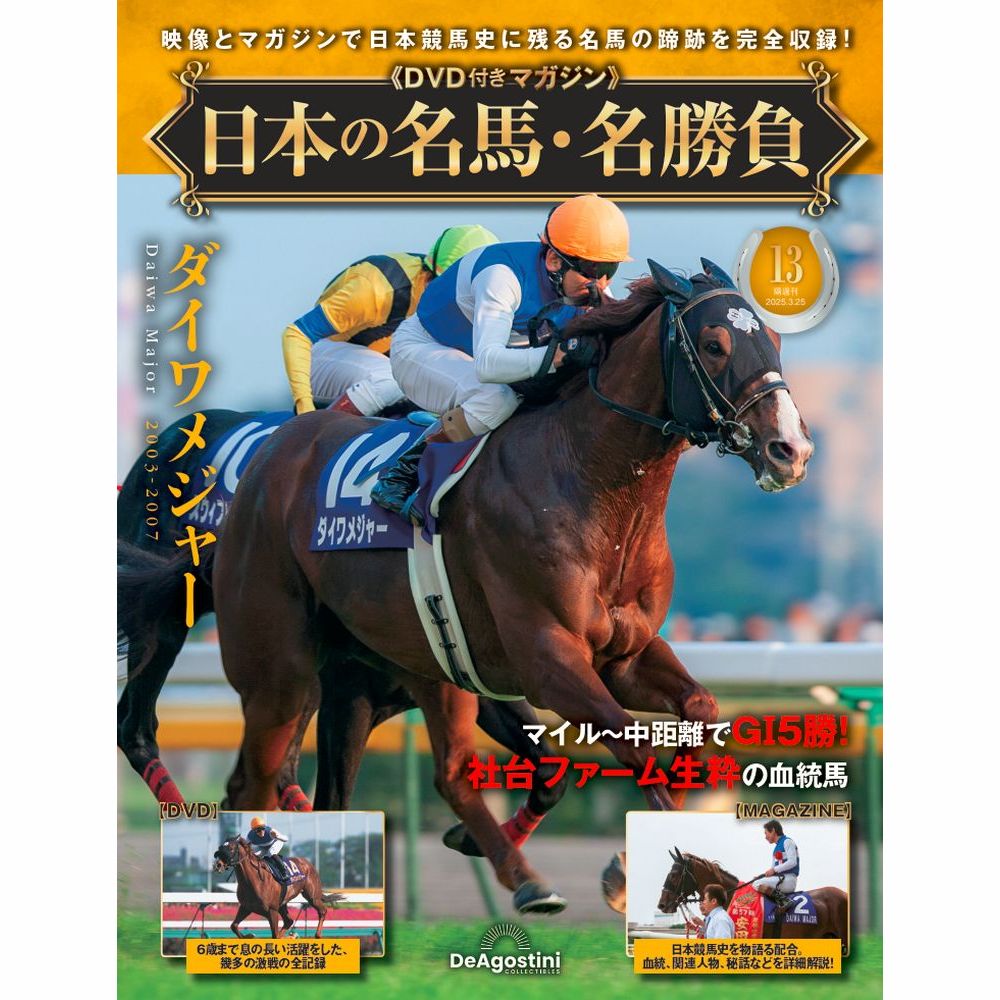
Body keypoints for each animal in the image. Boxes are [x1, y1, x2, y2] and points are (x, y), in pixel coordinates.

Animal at [118, 411, 570, 849]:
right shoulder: (349, 697)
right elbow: (331, 797)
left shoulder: (470, 676)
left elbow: (552, 773)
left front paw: (472, 837)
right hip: (184, 623)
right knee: (135, 726)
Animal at [209, 259, 814, 912]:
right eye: (714, 344)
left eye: (773, 341)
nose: (791, 449)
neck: (587, 482)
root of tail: (274, 447)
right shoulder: (547, 660)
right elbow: (632, 747)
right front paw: (627, 873)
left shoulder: (624, 656)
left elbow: (698, 710)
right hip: (284, 670)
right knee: (270, 777)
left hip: (396, 668)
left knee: (410, 776)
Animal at [212, 835, 343, 938]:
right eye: (220, 848)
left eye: (231, 848)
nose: (218, 865)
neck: (254, 880)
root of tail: (308, 863)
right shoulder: (246, 907)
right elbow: (233, 925)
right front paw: (249, 935)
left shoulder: (272, 910)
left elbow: (274, 935)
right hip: (283, 903)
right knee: (289, 921)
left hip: (312, 896)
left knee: (322, 911)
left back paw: (318, 935)